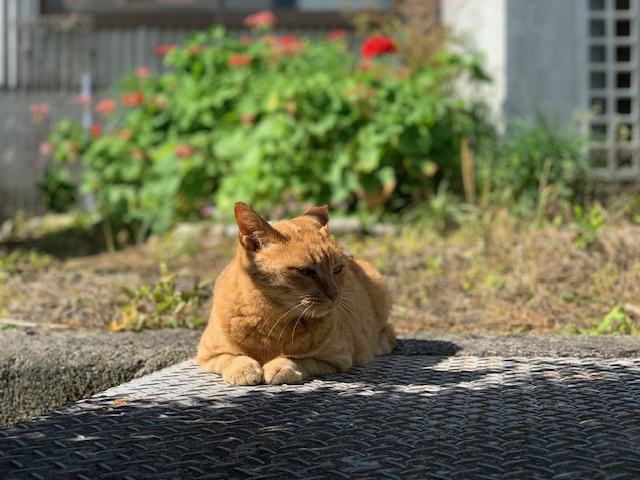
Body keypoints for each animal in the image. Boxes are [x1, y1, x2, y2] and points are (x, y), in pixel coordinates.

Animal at [196, 202, 396, 386]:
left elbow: (298, 359)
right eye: (305, 272)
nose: (334, 294)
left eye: (337, 269)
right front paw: (244, 369)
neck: (270, 322)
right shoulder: (207, 355)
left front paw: (280, 367)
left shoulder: (337, 358)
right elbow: (231, 357)